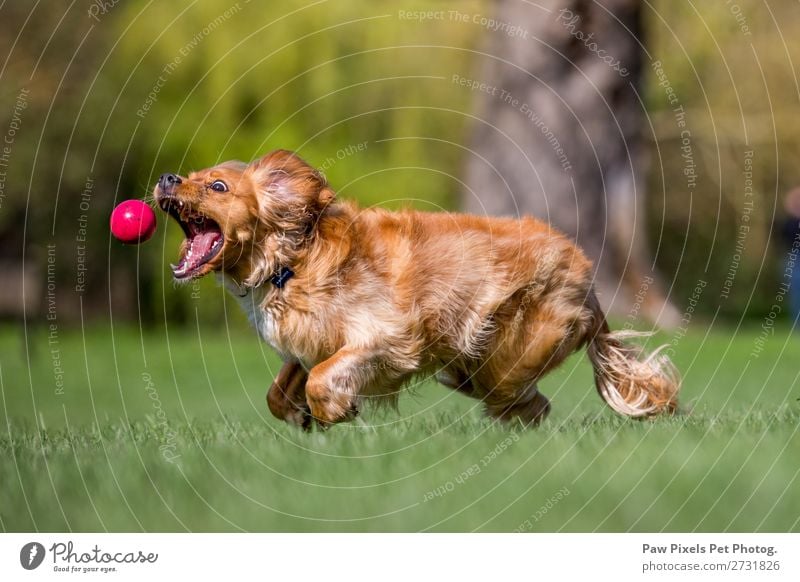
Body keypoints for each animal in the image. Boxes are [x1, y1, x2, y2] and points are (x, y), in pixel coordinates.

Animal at [153, 152, 680, 428]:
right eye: (191, 176)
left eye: (217, 186)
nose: (165, 177)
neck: (293, 262)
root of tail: (589, 281)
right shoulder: (309, 345)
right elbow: (280, 391)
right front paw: (305, 416)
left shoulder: (385, 337)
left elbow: (323, 377)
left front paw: (335, 412)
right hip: (483, 368)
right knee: (524, 406)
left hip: (504, 361)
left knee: (528, 404)